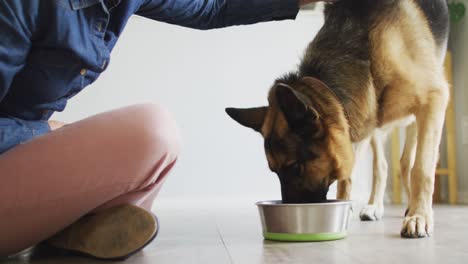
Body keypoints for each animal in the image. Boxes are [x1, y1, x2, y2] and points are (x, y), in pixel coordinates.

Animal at [227, 0, 450, 239]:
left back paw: (411, 207)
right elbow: (348, 176)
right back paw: (374, 205)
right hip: (373, 121)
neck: (366, 52)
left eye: (295, 167)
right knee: (381, 165)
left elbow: (422, 169)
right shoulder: (357, 120)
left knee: (407, 161)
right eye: (274, 171)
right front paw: (344, 206)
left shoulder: (434, 100)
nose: (289, 208)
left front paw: (419, 215)